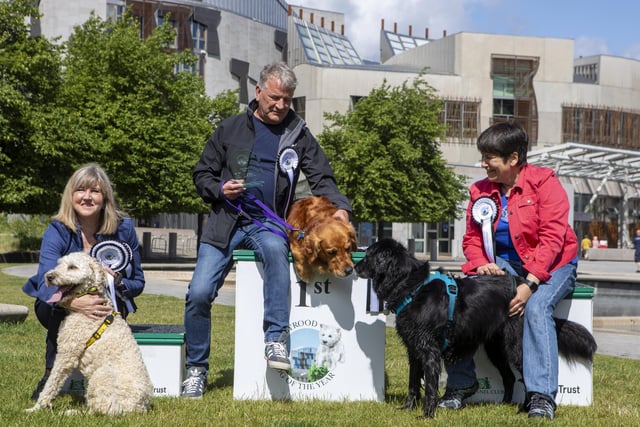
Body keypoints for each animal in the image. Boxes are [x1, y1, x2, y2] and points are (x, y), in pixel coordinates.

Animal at [27, 252, 154, 416]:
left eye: (72, 267)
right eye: (59, 264)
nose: (49, 277)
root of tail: (139, 407)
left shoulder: (66, 355)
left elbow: (51, 384)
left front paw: (36, 408)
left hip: (101, 375)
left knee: (100, 411)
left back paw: (71, 413)